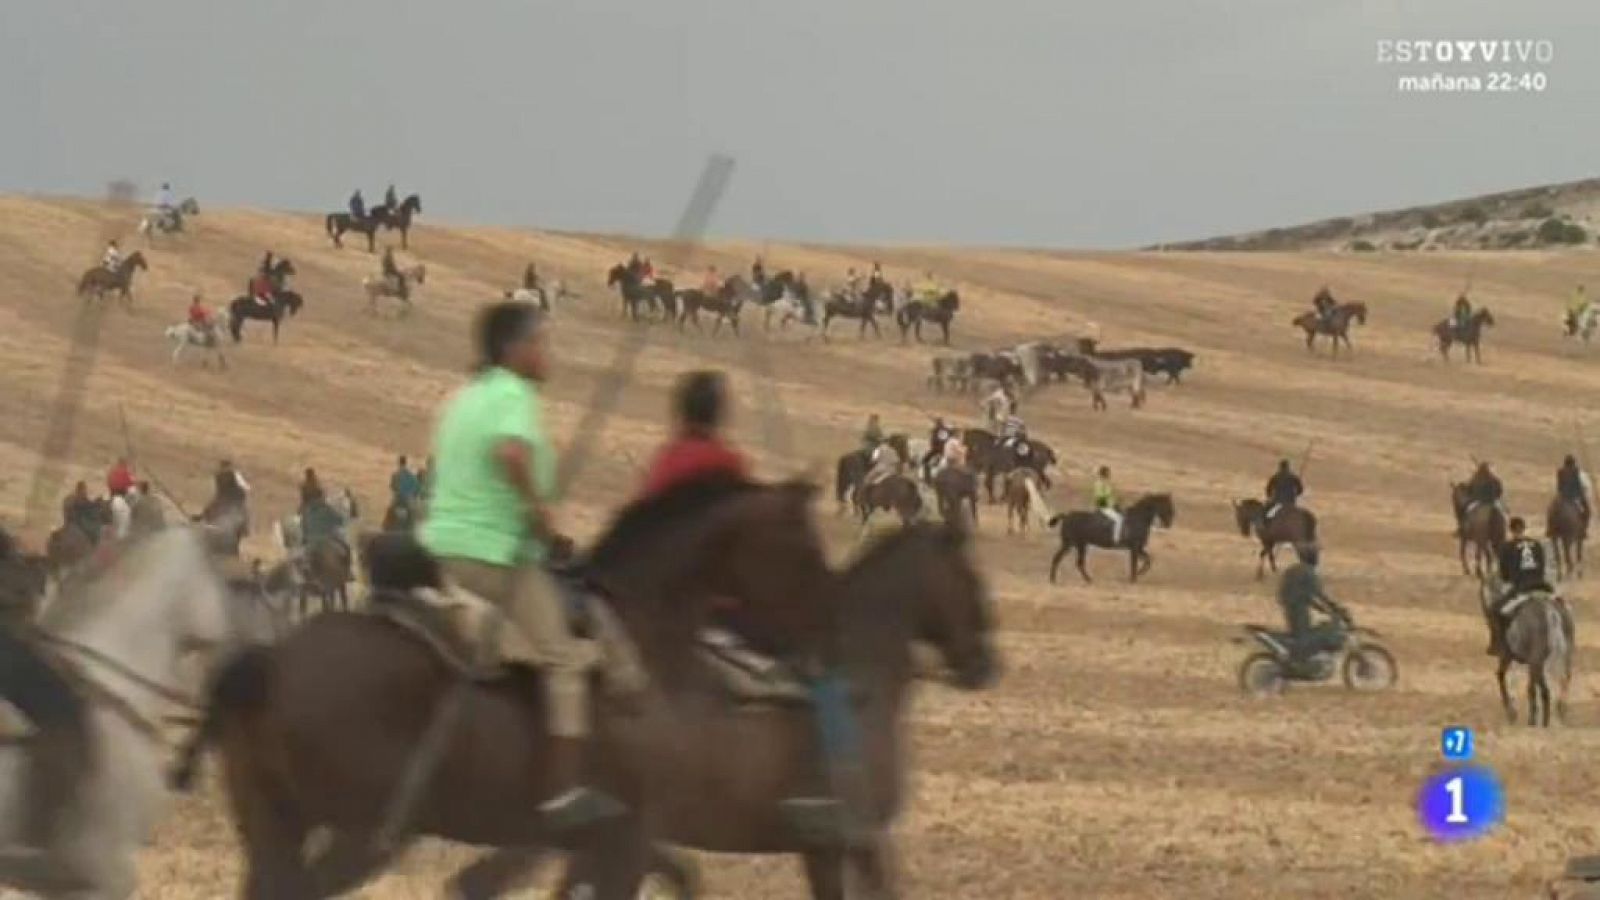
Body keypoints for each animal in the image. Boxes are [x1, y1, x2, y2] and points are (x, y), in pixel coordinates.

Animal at [173, 477, 889, 896]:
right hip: (356, 827)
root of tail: (268, 661)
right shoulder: (625, 839)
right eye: (800, 547)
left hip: (277, 822)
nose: (832, 635)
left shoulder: (614, 842)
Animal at [1049, 490, 1177, 582]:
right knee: (1075, 562)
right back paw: (1087, 580)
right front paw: (1133, 578)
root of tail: (1066, 516)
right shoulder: (1135, 548)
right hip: (1077, 545)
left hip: (1073, 544)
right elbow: (1136, 563)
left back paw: (1054, 580)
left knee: (1060, 559)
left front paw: (1138, 574)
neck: (1138, 518)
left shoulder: (1138, 548)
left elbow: (1148, 560)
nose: (1168, 524)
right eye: (1167, 507)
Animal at [1478, 576, 1568, 723]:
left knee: (1539, 689)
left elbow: (1500, 675)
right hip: (1548, 661)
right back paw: (1549, 718)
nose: (1491, 650)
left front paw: (1511, 712)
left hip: (1535, 662)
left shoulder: (1507, 656)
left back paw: (1534, 720)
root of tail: (1549, 613)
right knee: (1552, 686)